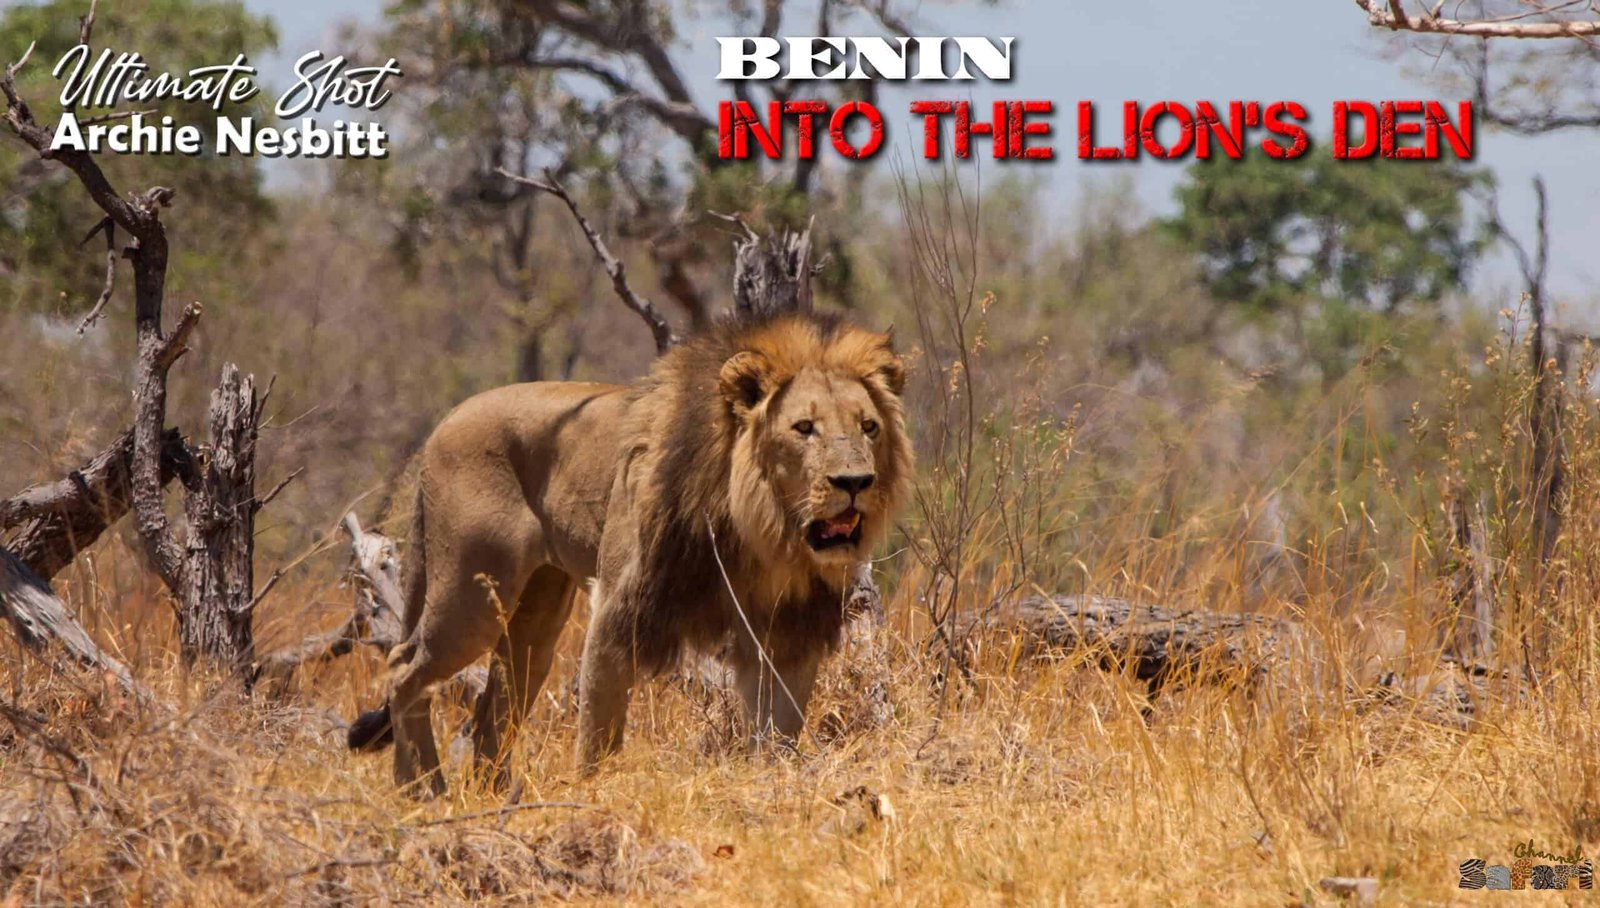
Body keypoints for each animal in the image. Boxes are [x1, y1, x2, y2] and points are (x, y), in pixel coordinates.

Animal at [347, 311, 912, 795]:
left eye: (868, 427)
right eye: (803, 428)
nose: (855, 482)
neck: (764, 535)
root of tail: (443, 423)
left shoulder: (789, 631)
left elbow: (777, 731)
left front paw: (771, 785)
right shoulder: (620, 610)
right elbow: (599, 731)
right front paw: (591, 796)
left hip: (535, 615)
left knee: (493, 708)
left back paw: (491, 797)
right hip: (473, 591)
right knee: (402, 666)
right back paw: (422, 789)